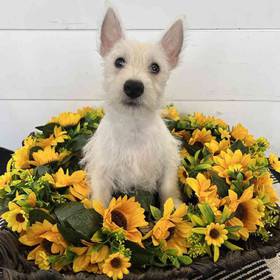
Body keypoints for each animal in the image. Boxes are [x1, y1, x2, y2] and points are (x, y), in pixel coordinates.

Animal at [82, 7, 185, 208]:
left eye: (155, 67)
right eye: (119, 61)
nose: (134, 87)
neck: (133, 126)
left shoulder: (168, 160)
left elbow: (168, 188)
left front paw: (175, 207)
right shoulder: (101, 169)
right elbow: (100, 201)